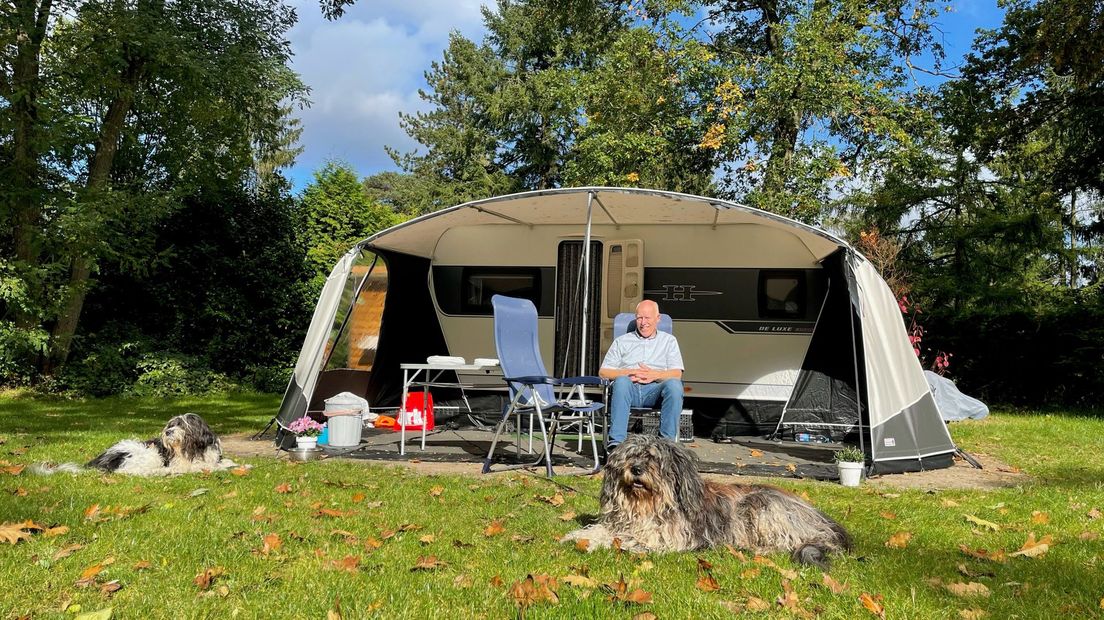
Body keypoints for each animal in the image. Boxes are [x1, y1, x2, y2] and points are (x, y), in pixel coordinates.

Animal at [560, 432, 852, 569]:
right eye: (630, 457)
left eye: (653, 458)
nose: (636, 469)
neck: (647, 506)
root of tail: (824, 521)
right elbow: (603, 529)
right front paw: (578, 536)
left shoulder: (666, 538)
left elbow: (626, 540)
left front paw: (598, 543)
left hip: (763, 506)